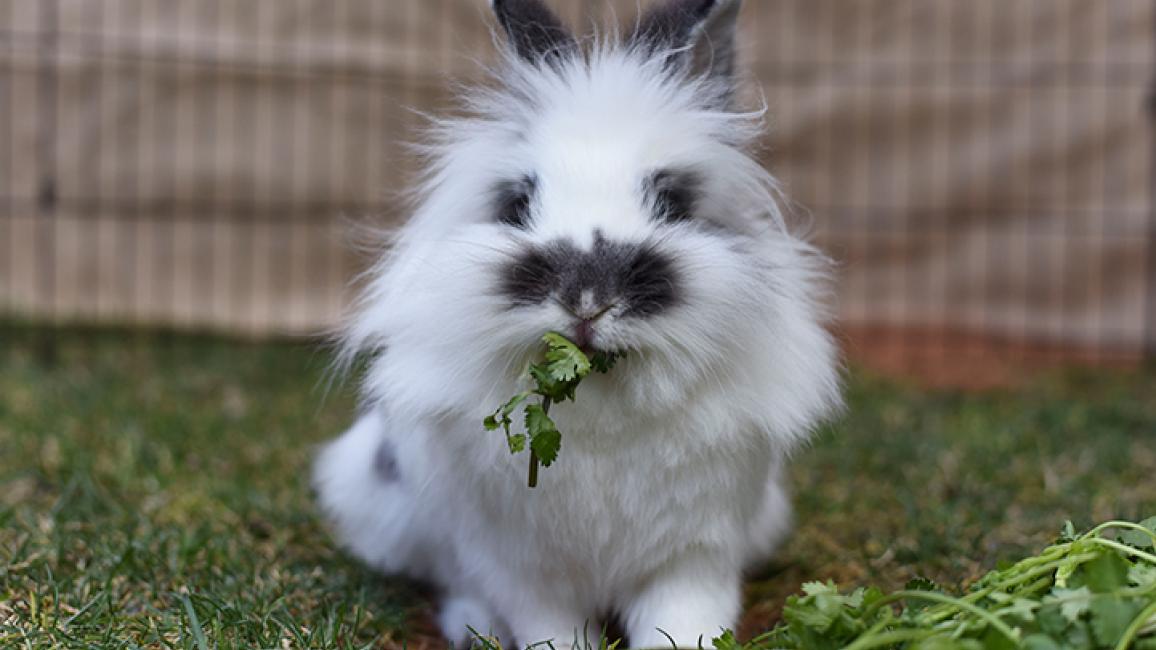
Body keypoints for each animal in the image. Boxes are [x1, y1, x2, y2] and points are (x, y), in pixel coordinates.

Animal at [312, 0, 842, 647]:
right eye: (517, 204)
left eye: (672, 202)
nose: (587, 299)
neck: (601, 400)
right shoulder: (523, 566)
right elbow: (549, 625)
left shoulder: (693, 555)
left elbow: (684, 619)